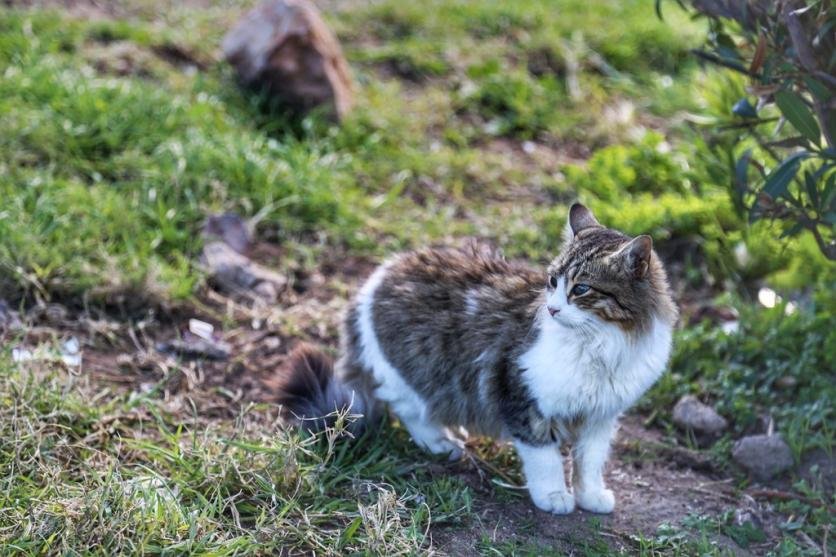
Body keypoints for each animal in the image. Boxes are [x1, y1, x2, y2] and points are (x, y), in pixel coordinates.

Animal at [274, 203, 680, 512]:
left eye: (580, 289)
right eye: (552, 282)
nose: (551, 310)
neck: (603, 343)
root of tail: (377, 277)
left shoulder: (600, 416)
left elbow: (590, 464)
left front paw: (590, 497)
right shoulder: (524, 400)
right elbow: (546, 458)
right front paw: (553, 496)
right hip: (411, 371)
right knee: (409, 409)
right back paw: (440, 442)